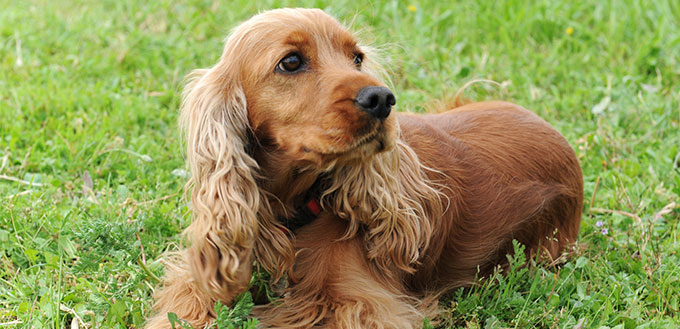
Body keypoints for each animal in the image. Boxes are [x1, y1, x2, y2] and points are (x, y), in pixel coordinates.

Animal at [147, 7, 584, 328]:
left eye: (356, 58)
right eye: (291, 61)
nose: (382, 99)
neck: (293, 210)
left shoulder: (362, 305)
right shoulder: (200, 278)